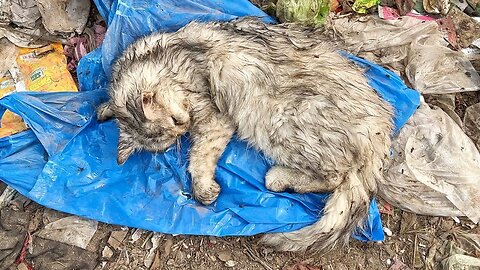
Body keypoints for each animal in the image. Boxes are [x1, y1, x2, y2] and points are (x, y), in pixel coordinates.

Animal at [97, 17, 394, 252]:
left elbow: (199, 157)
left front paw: (202, 188)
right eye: (170, 135)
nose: (184, 126)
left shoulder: (215, 118)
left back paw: (279, 178)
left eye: (175, 120)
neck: (157, 56)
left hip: (287, 122)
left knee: (336, 176)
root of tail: (380, 125)